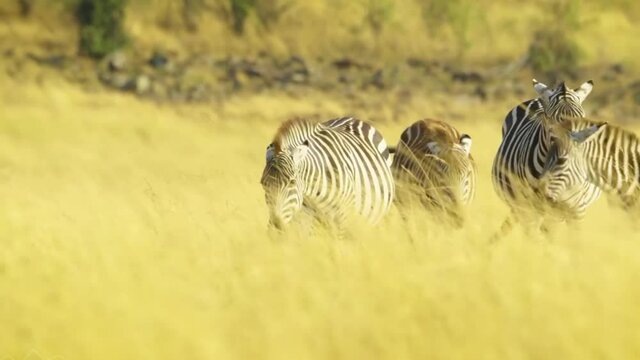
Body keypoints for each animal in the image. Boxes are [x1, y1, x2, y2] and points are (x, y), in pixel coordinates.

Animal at [260, 116, 396, 229]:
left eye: (292, 182)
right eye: (264, 184)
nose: (275, 228)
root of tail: (353, 118)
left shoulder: (342, 218)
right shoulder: (304, 219)